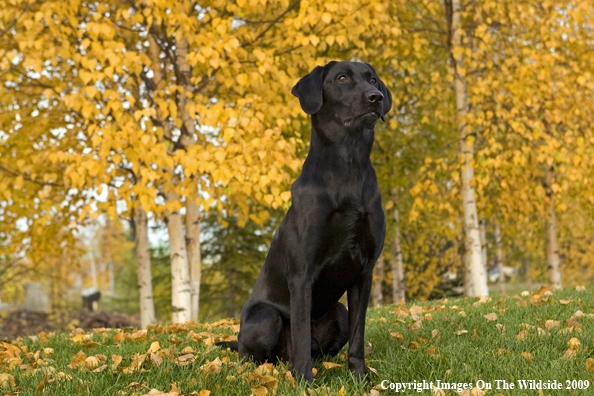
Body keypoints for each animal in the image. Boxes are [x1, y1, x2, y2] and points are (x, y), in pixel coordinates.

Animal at [216, 62, 388, 384]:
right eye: (342, 78)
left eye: (373, 80)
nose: (376, 97)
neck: (348, 163)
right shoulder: (301, 274)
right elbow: (300, 333)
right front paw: (305, 382)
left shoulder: (364, 272)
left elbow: (358, 338)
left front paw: (360, 378)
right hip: (265, 317)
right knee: (255, 356)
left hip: (339, 310)